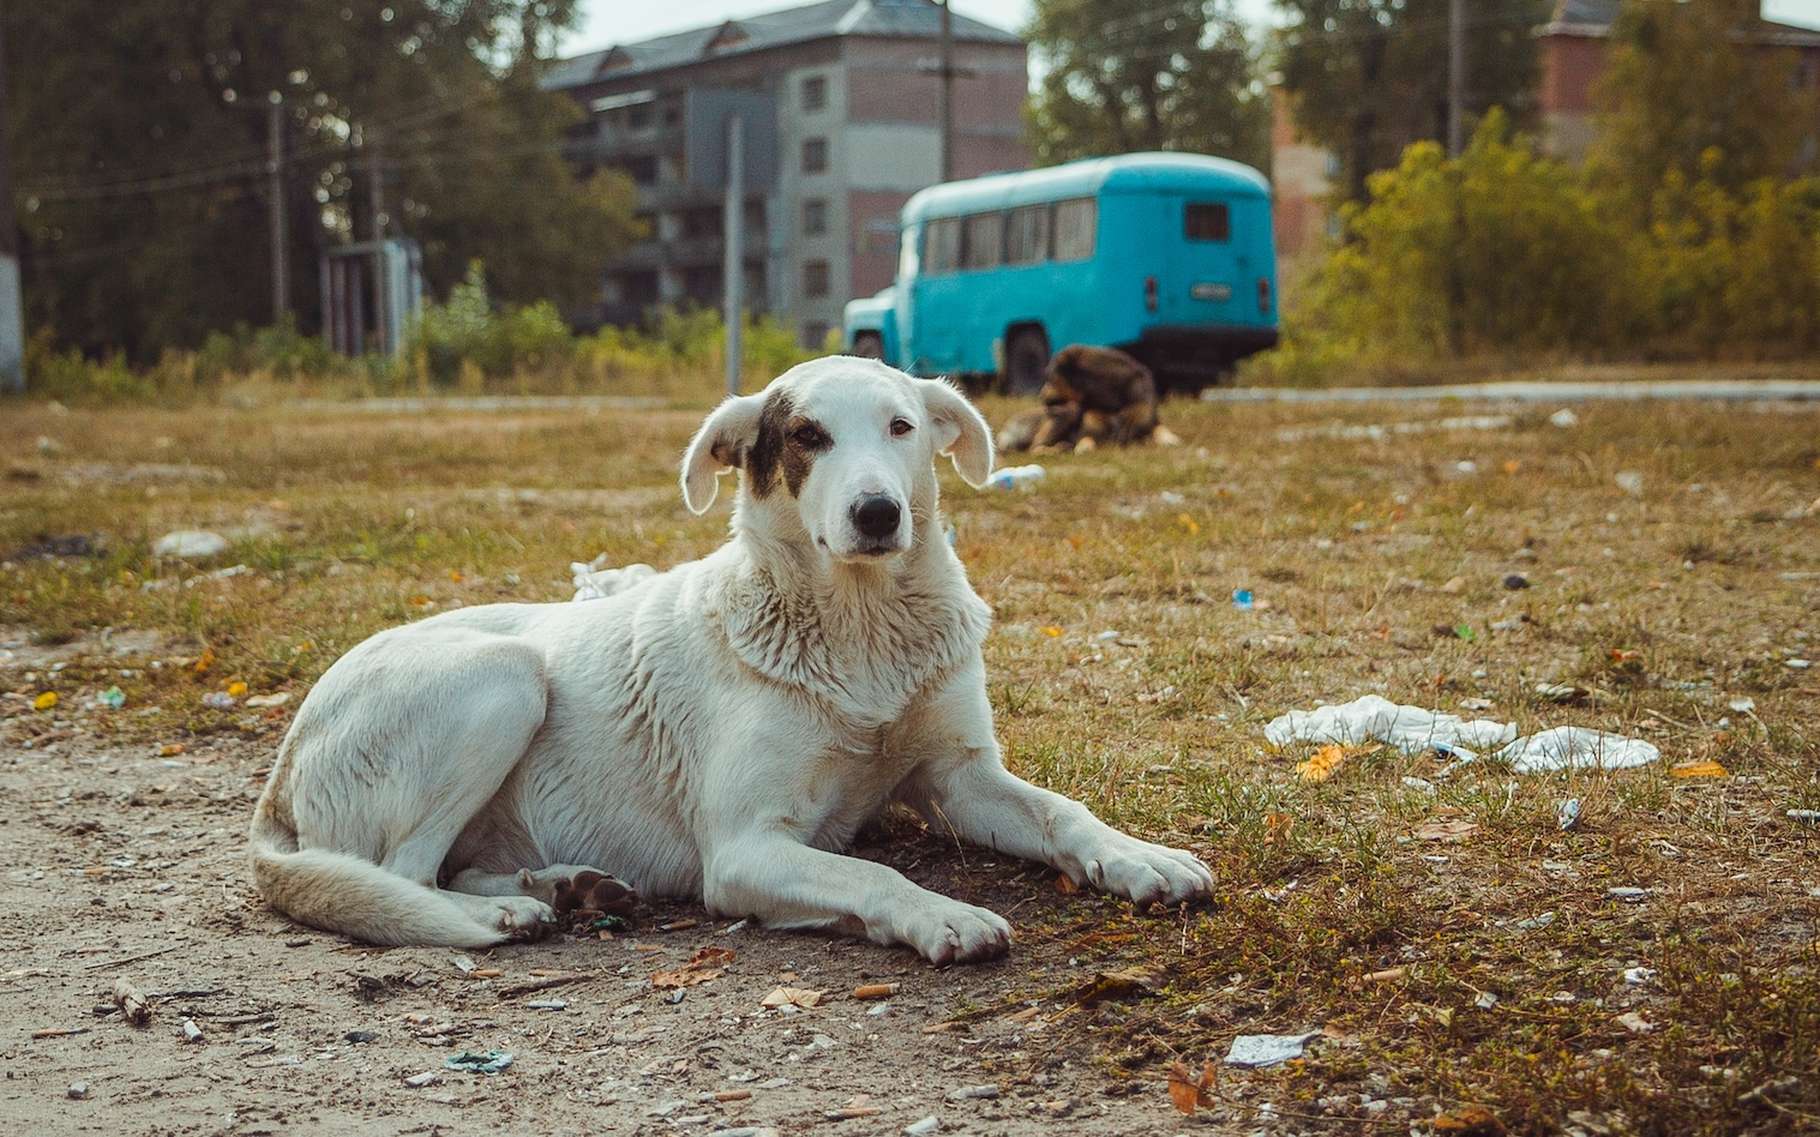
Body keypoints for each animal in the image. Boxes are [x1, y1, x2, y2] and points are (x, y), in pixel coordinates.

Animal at [242, 354, 1208, 960]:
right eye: (807, 436)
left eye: (901, 427)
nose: (877, 513)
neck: (860, 630)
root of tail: (279, 774)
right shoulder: (746, 849)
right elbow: (871, 868)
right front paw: (941, 914)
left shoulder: (960, 776)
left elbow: (1063, 812)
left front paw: (1140, 856)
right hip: (503, 678)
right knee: (403, 873)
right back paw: (510, 910)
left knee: (451, 863)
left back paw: (567, 885)